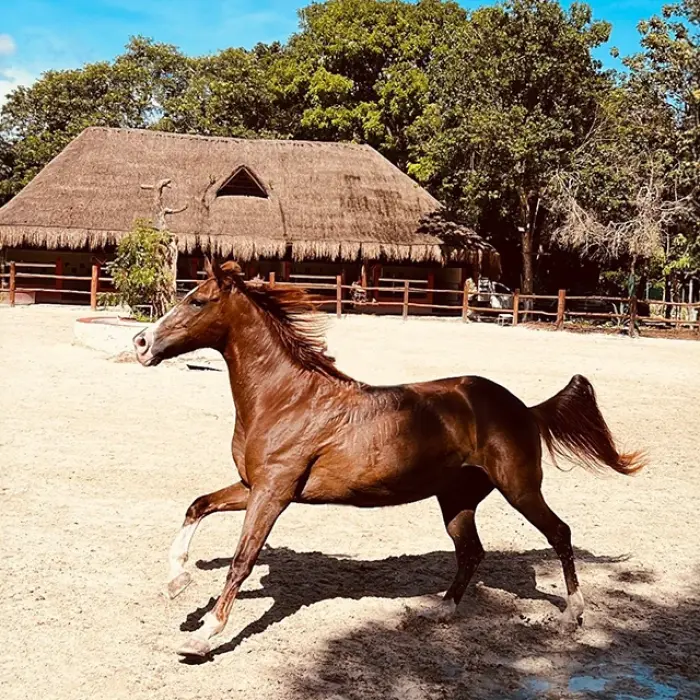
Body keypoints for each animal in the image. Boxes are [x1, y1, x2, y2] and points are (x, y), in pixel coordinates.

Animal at [133, 258, 644, 658]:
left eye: (197, 302)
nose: (140, 343)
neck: (286, 399)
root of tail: (524, 408)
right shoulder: (252, 485)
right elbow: (197, 505)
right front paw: (177, 582)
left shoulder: (273, 492)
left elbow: (242, 560)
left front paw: (202, 637)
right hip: (456, 499)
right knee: (472, 552)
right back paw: (441, 609)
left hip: (519, 488)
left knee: (559, 533)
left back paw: (572, 615)